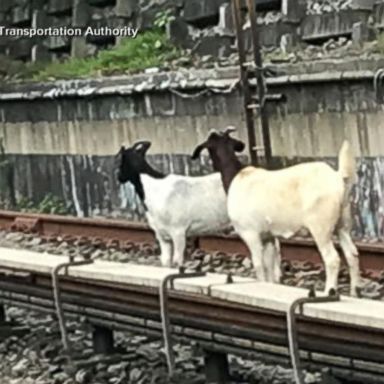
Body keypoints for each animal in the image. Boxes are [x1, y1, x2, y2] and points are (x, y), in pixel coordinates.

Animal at [115, 140, 234, 268]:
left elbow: (177, 261)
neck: (152, 186)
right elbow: (166, 261)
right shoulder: (162, 235)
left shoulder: (178, 231)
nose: (119, 177)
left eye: (121, 162)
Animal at [191, 127, 360, 296]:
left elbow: (258, 264)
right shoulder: (268, 237)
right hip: (342, 224)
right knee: (352, 254)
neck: (238, 177)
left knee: (332, 259)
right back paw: (354, 293)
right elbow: (269, 265)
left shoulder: (250, 233)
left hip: (320, 226)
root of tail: (338, 178)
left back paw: (328, 291)